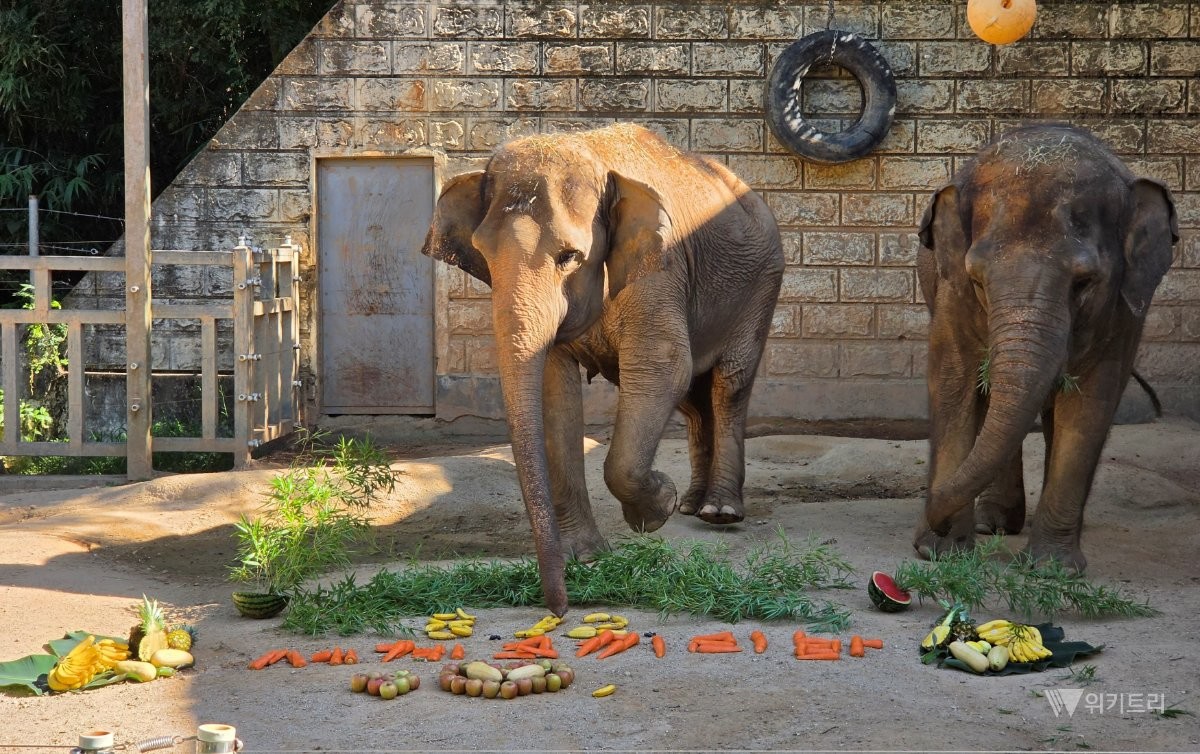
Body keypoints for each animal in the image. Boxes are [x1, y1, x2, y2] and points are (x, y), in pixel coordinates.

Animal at [421, 124, 784, 614]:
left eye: (569, 256)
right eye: (482, 252)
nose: (559, 609)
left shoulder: (660, 268)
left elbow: (662, 364)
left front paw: (655, 509)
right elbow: (555, 392)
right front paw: (588, 557)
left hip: (763, 283)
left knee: (729, 384)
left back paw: (718, 513)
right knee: (694, 399)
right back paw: (691, 506)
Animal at [915, 124, 1178, 569]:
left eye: (1084, 282)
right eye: (977, 280)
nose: (933, 523)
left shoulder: (1124, 307)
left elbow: (1093, 400)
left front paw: (1054, 569)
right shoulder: (952, 293)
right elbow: (953, 379)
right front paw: (941, 552)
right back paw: (993, 525)